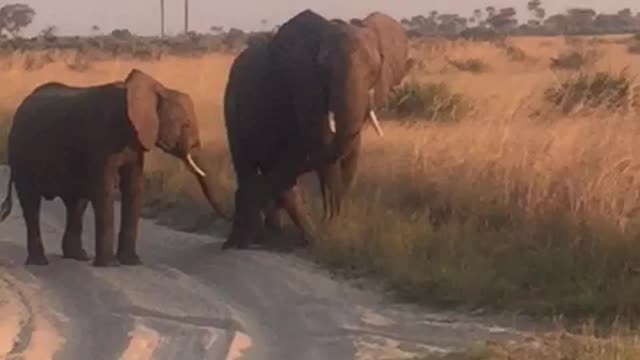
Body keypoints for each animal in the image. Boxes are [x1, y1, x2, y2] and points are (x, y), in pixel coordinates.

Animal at [222, 9, 412, 249]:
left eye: (374, 71)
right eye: (324, 69)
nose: (329, 218)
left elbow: (349, 154)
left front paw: (334, 224)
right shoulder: (304, 83)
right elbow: (322, 145)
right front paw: (330, 226)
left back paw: (272, 232)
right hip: (232, 109)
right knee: (249, 167)